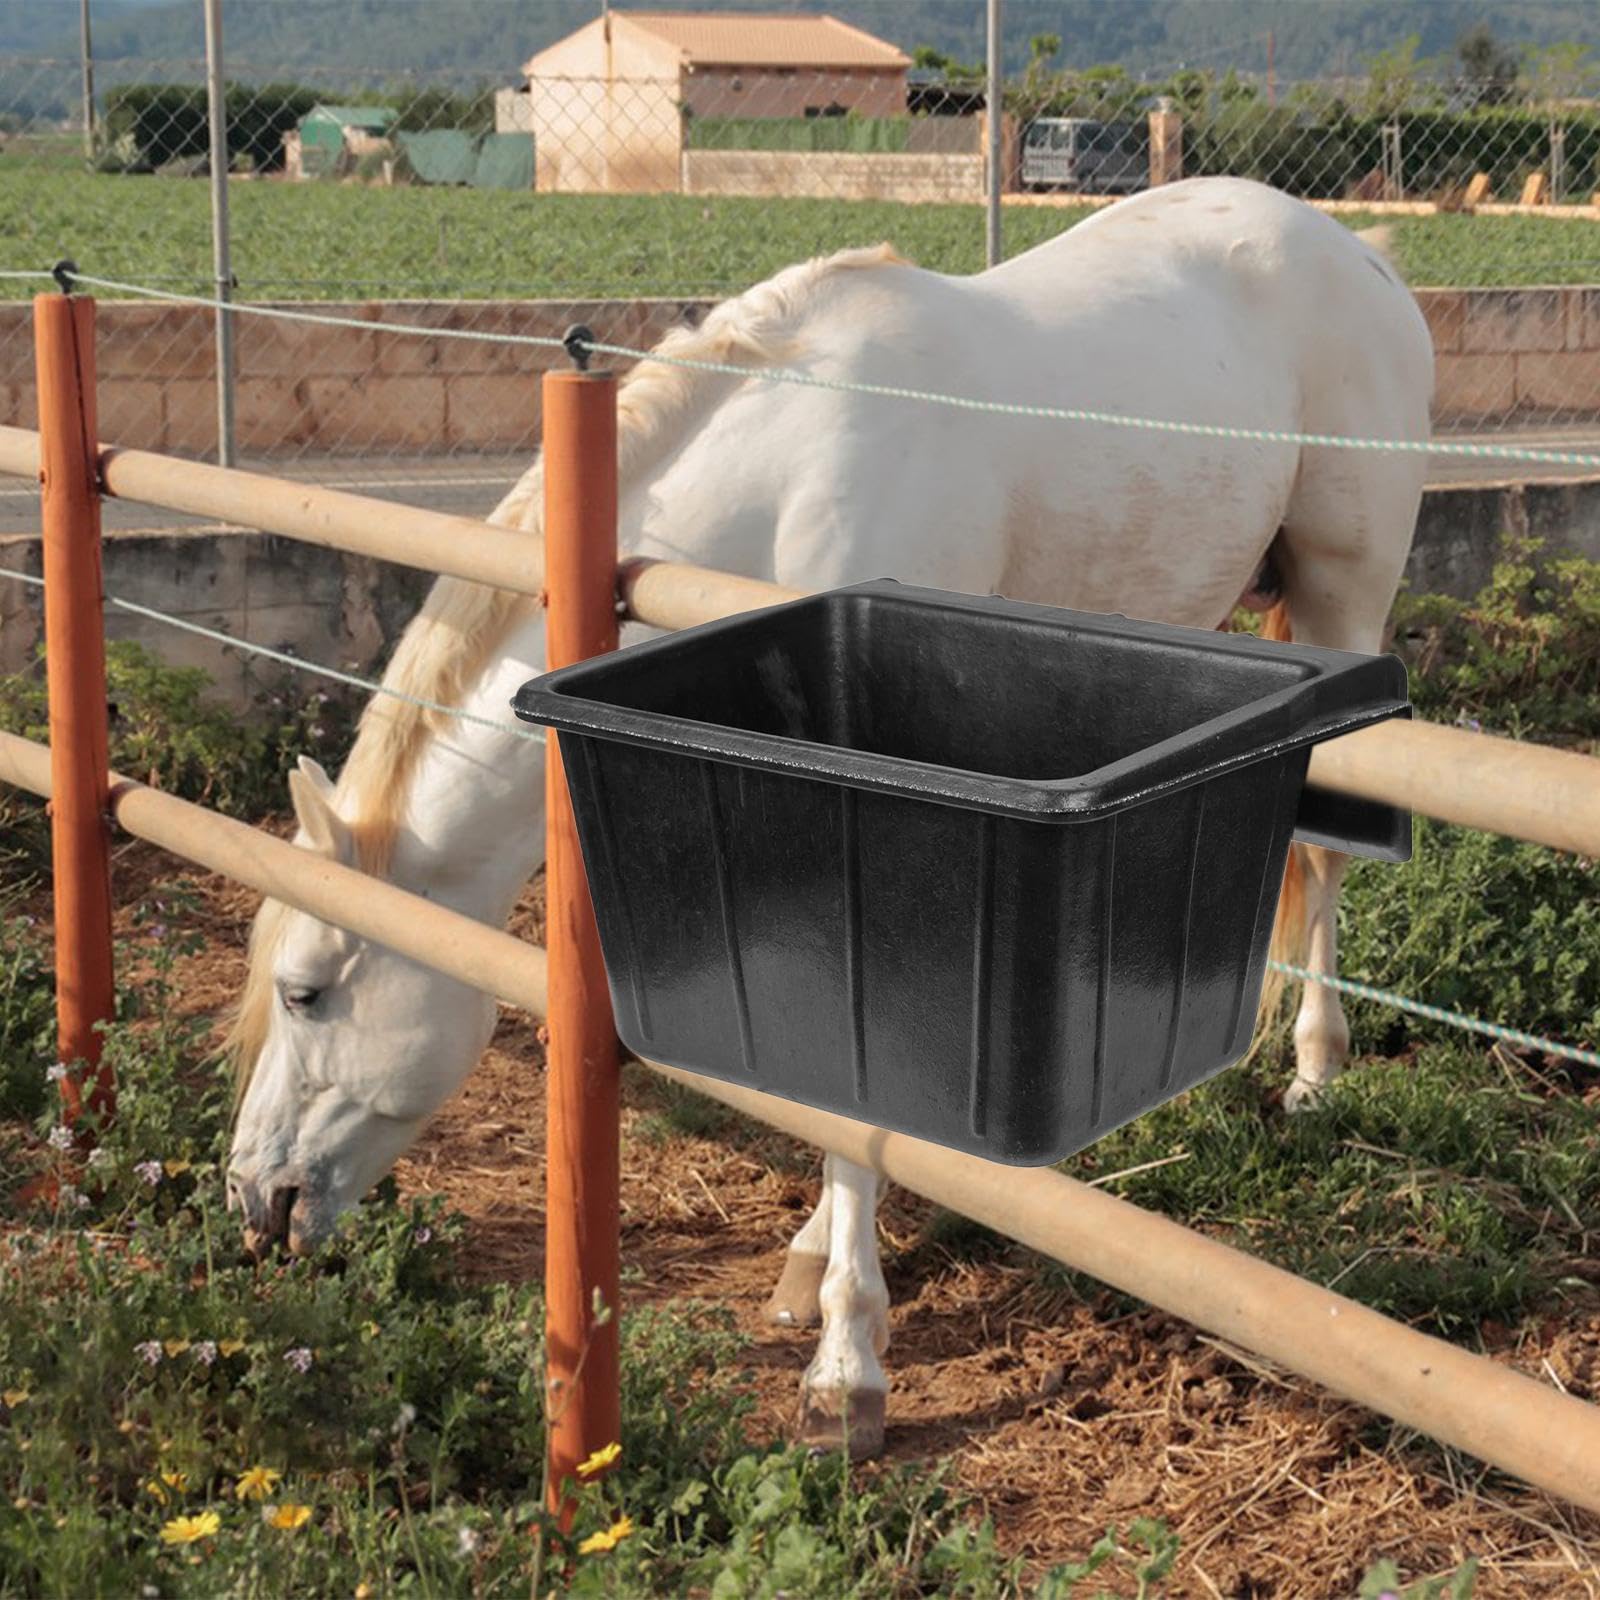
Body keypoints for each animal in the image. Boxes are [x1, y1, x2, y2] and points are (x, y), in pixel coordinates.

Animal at [226, 177, 1433, 1458]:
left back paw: (1313, 1071)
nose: (251, 1197)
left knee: (1323, 854)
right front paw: (813, 1263)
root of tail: (1355, 250)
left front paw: (848, 1363)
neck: (784, 483)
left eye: (306, 992)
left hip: (1341, 597)